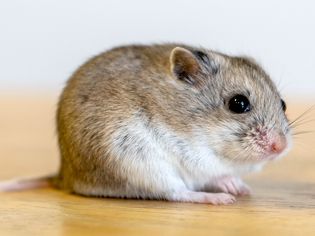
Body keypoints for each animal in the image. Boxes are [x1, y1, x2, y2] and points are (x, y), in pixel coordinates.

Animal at [0, 44, 292, 205]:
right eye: (238, 104)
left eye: (283, 103)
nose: (280, 147)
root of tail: (64, 177)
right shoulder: (192, 153)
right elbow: (214, 172)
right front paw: (232, 185)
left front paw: (245, 189)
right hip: (142, 165)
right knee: (177, 193)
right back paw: (216, 198)